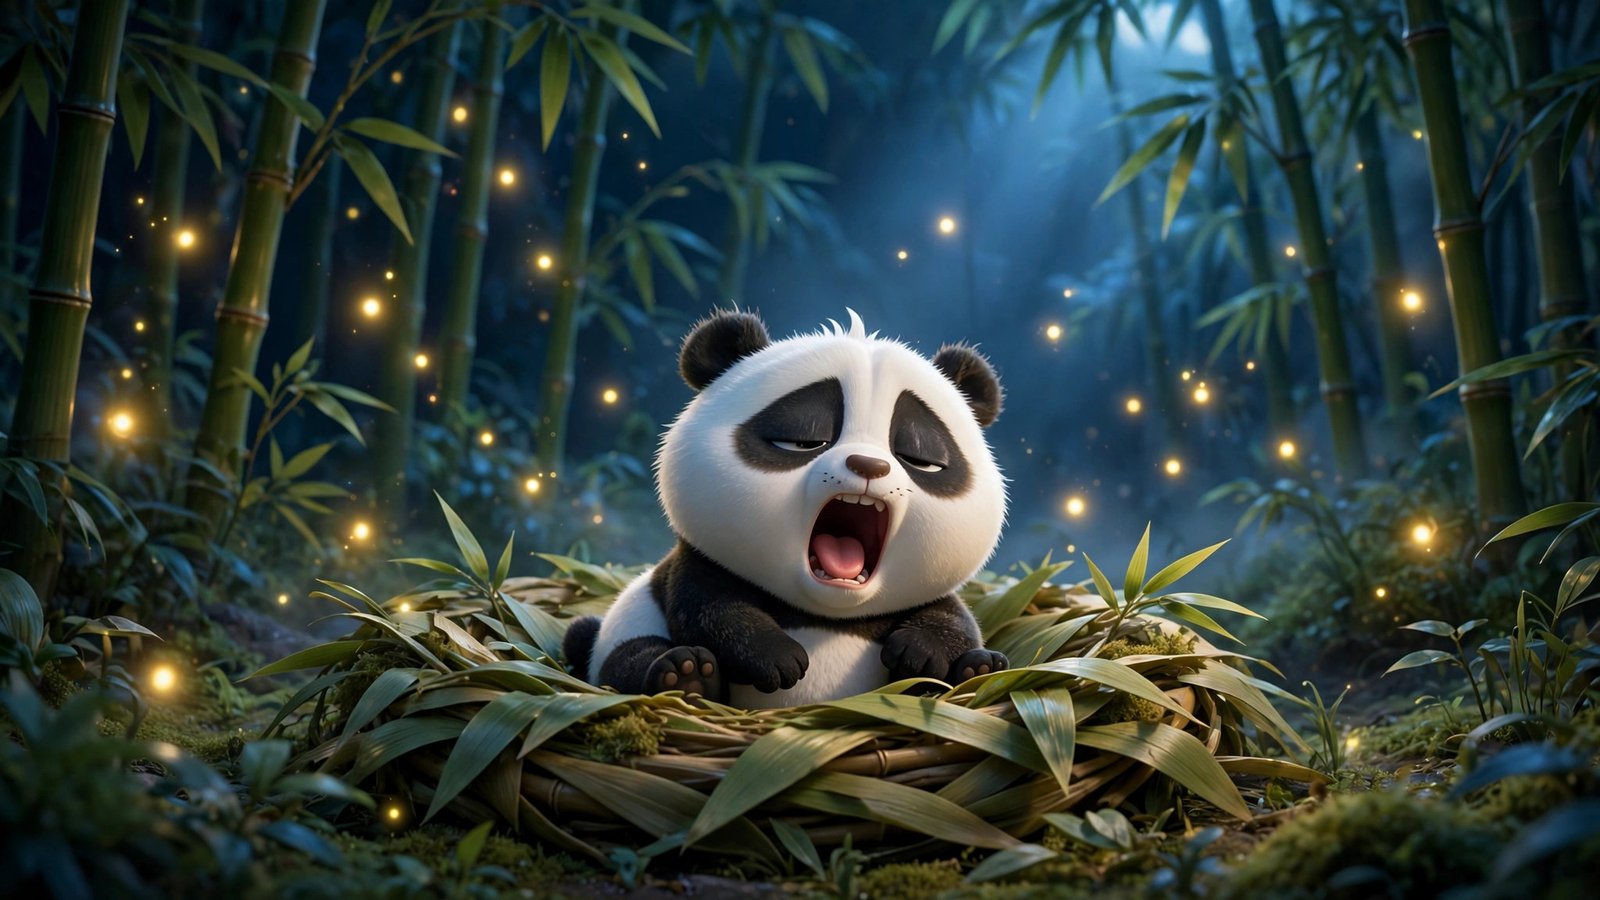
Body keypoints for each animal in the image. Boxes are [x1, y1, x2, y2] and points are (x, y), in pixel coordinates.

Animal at [562, 308, 1010, 708]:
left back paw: (980, 669)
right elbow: (710, 611)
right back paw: (686, 676)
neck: (829, 610)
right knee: (625, 656)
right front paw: (778, 660)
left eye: (919, 457)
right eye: (803, 439)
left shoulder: (924, 594)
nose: (869, 466)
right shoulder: (698, 564)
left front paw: (919, 653)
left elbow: (954, 618)